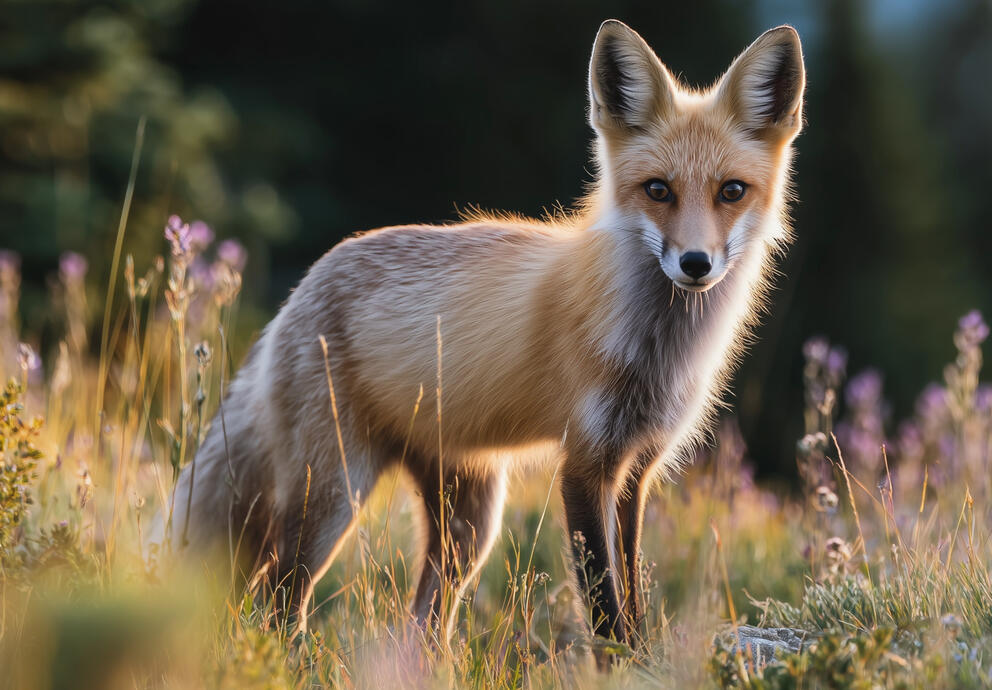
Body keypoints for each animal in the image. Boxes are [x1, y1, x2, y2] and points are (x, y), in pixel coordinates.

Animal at [161, 20, 805, 647]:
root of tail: (302, 287)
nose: (695, 264)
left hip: (469, 524)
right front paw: (621, 664)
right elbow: (604, 609)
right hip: (334, 495)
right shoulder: (585, 461)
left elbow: (634, 597)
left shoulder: (637, 466)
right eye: (657, 190)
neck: (657, 349)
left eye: (731, 191)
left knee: (420, 628)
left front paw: (644, 659)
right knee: (274, 605)